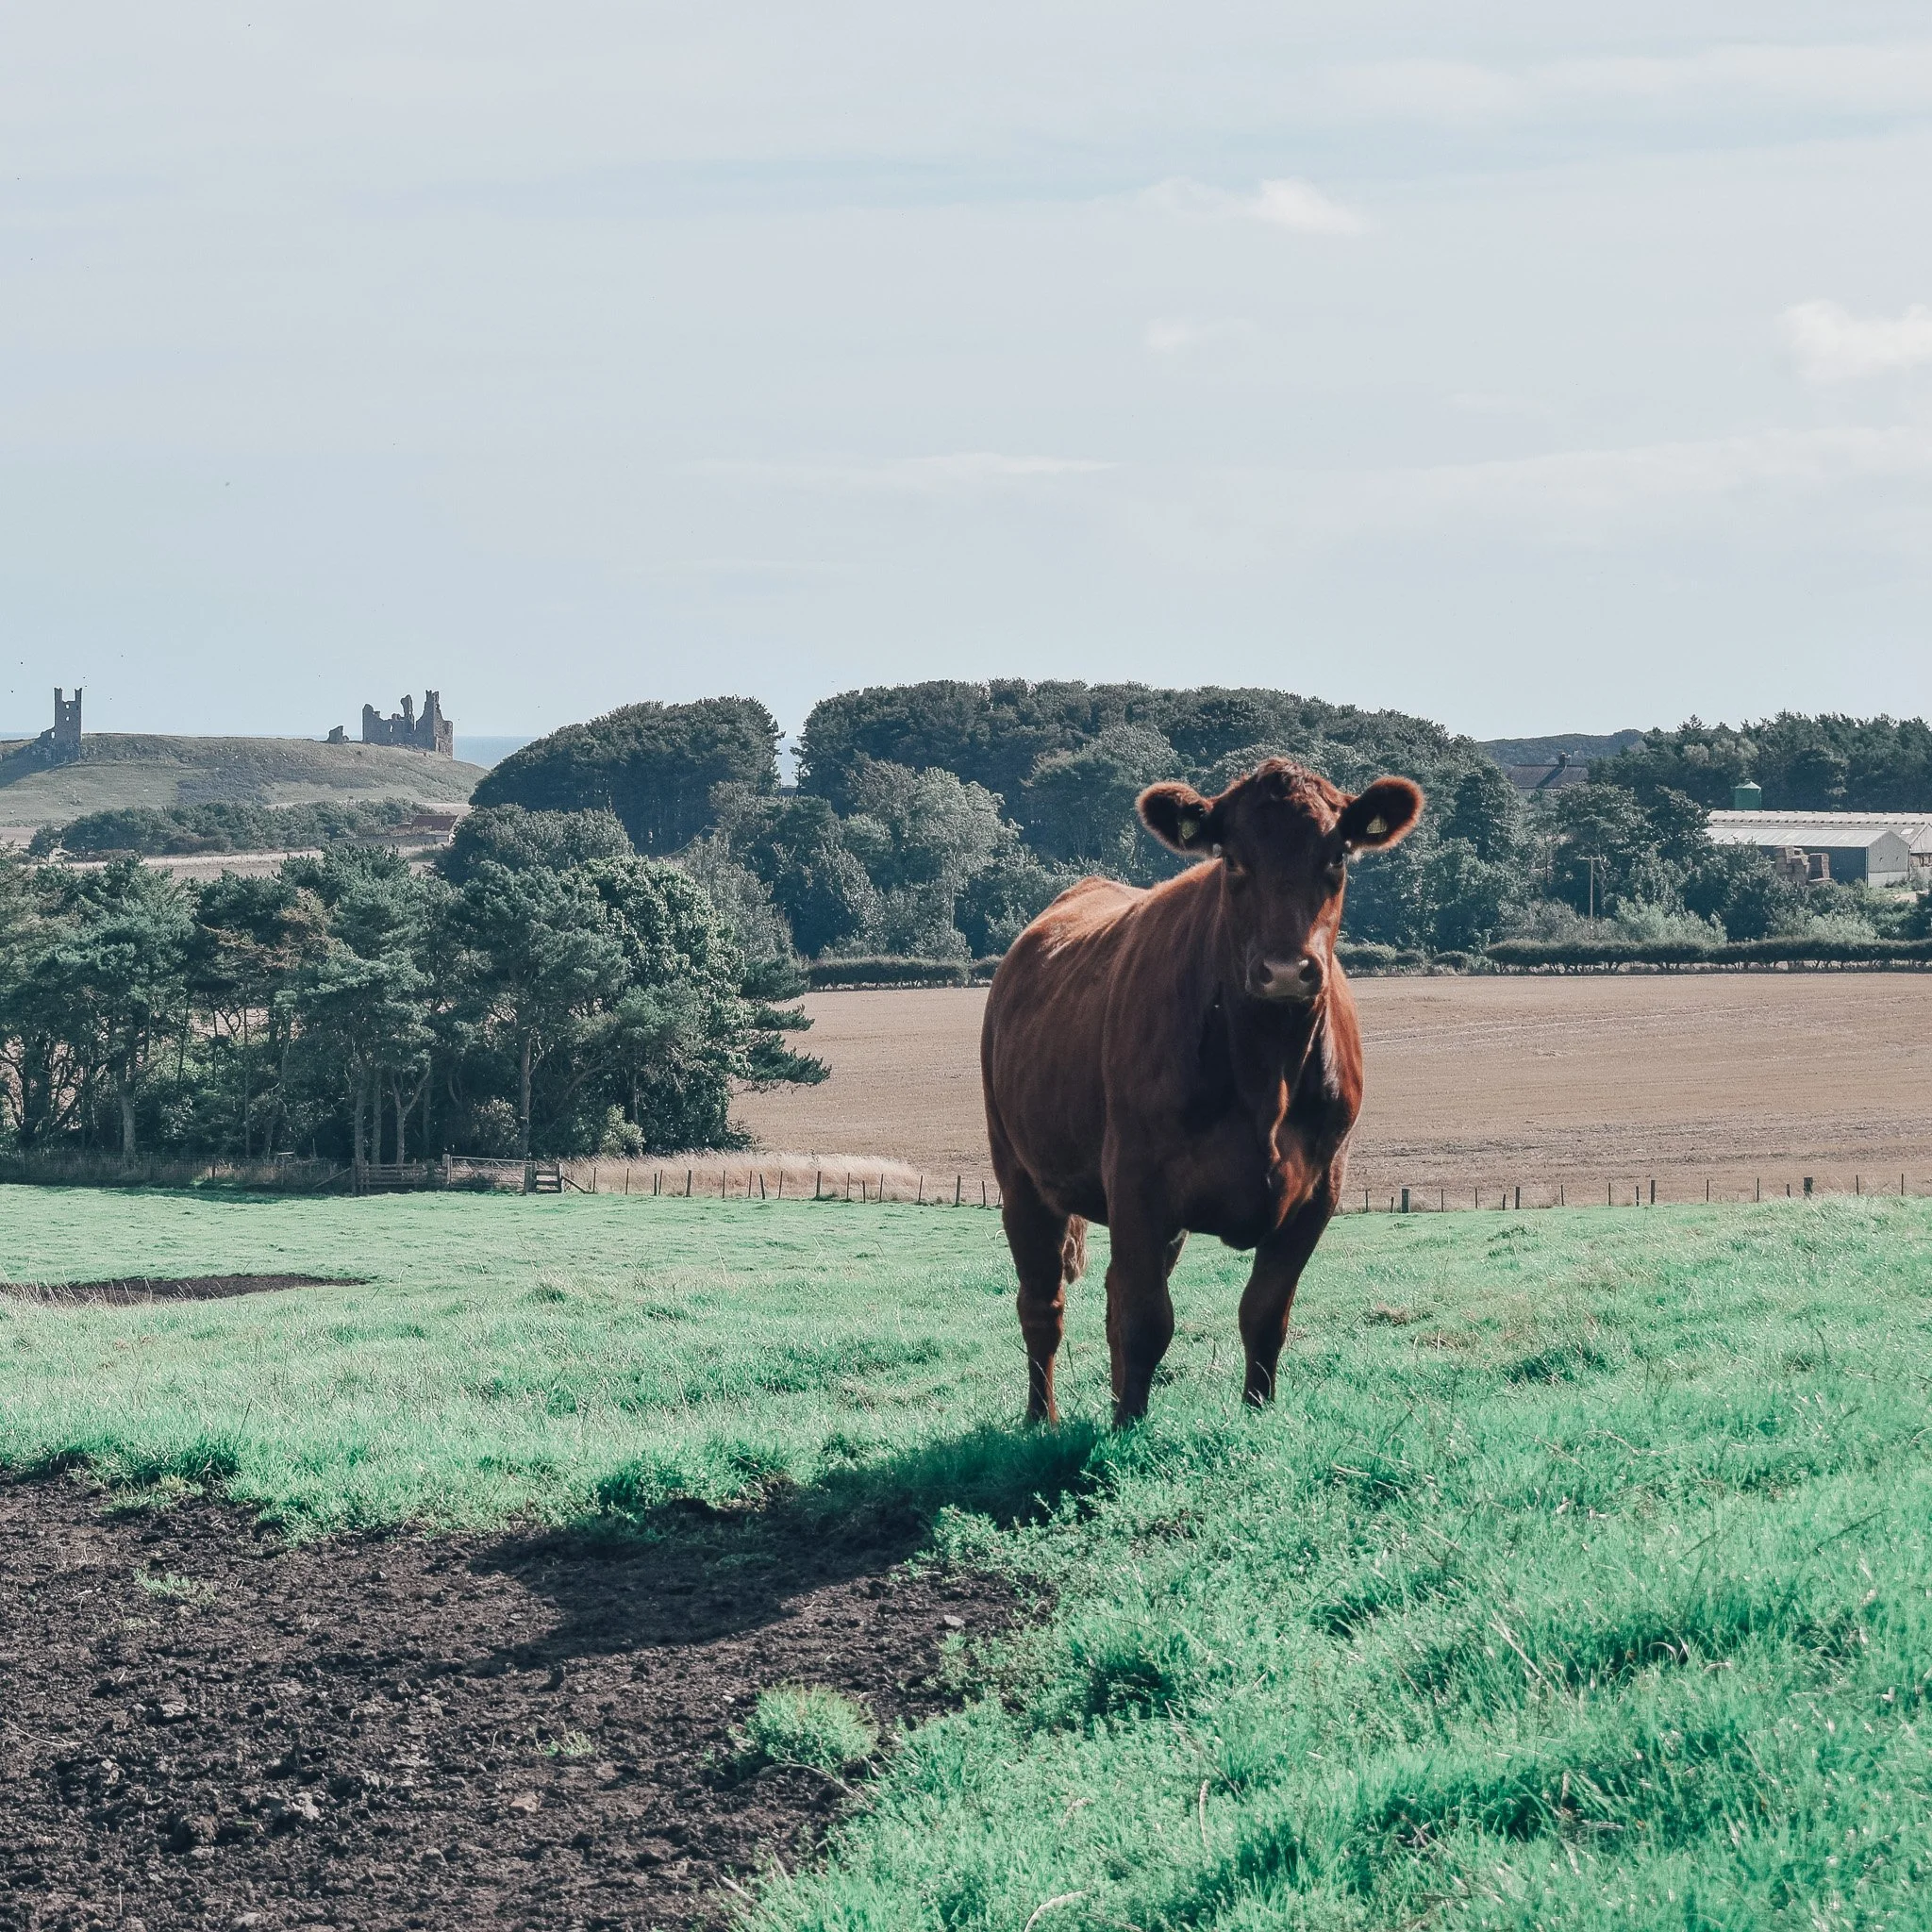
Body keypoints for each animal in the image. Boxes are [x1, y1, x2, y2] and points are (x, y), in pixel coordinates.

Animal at [980, 758, 1423, 1426]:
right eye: (1232, 859)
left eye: (1339, 855)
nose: (1286, 970)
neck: (1267, 1076)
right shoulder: (1137, 1178)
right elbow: (1146, 1321)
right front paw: (1127, 1433)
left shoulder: (1320, 1189)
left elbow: (1264, 1314)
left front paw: (1256, 1416)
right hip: (1020, 1176)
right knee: (1042, 1304)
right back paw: (1042, 1419)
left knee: (1108, 1294)